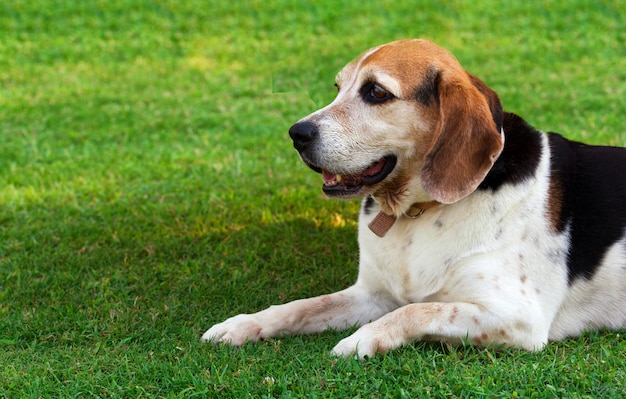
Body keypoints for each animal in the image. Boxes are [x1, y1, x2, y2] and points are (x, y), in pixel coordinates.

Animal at [201, 39, 624, 360]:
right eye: (338, 88)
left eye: (376, 92)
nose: (297, 133)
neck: (416, 212)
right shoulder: (370, 295)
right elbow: (301, 306)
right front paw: (243, 325)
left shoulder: (517, 317)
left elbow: (418, 309)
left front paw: (361, 340)